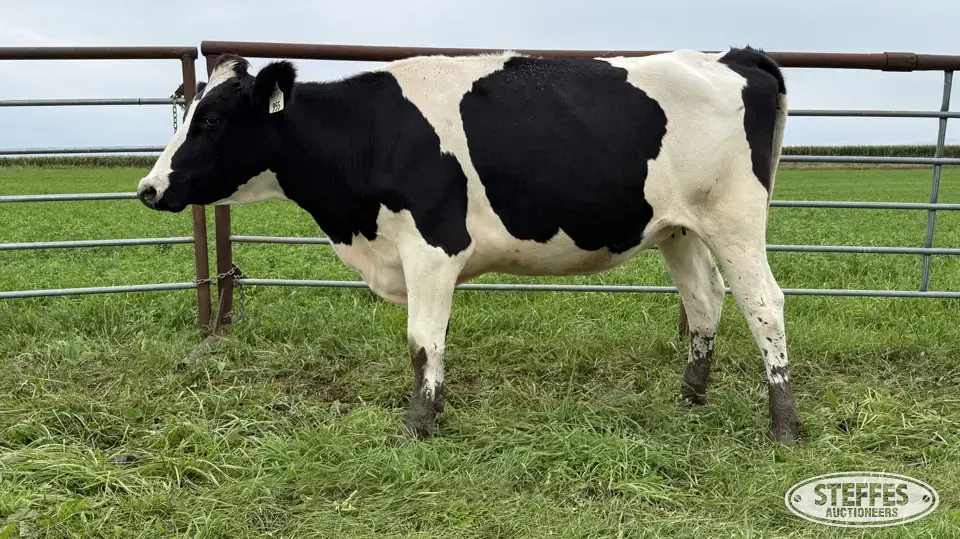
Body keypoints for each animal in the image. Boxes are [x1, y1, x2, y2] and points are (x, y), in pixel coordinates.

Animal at [136, 46, 800, 445]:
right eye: (189, 112)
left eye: (212, 119)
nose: (148, 188)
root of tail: (731, 56)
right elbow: (429, 342)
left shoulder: (432, 248)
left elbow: (421, 341)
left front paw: (418, 423)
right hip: (679, 228)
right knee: (706, 301)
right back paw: (690, 397)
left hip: (736, 220)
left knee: (765, 304)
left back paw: (784, 423)